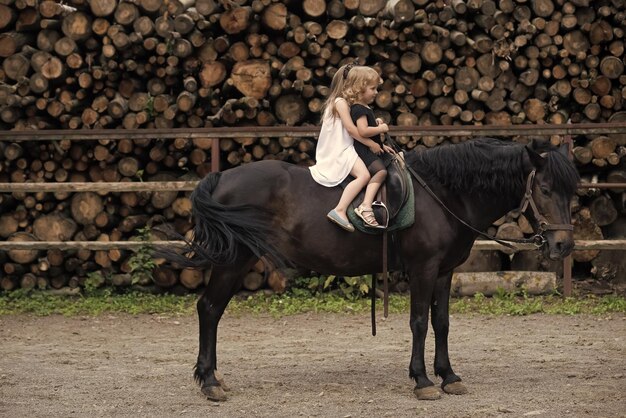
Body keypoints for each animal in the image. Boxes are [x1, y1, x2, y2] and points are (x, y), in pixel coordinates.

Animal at [163, 138, 576, 402]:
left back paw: (212, 378)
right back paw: (209, 382)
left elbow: (442, 323)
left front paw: (449, 376)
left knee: (211, 310)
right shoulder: (423, 269)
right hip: (234, 261)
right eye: (544, 189)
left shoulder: (445, 272)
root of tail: (222, 178)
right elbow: (419, 322)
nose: (563, 245)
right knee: (209, 309)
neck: (444, 195)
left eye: (572, 192)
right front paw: (422, 380)